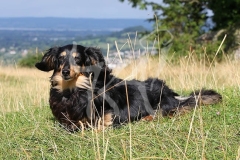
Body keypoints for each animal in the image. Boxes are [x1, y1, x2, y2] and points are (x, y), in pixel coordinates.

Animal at [35, 44, 221, 131]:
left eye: (77, 58)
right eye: (61, 58)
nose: (65, 72)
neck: (74, 90)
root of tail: (172, 95)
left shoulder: (110, 115)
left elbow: (100, 125)